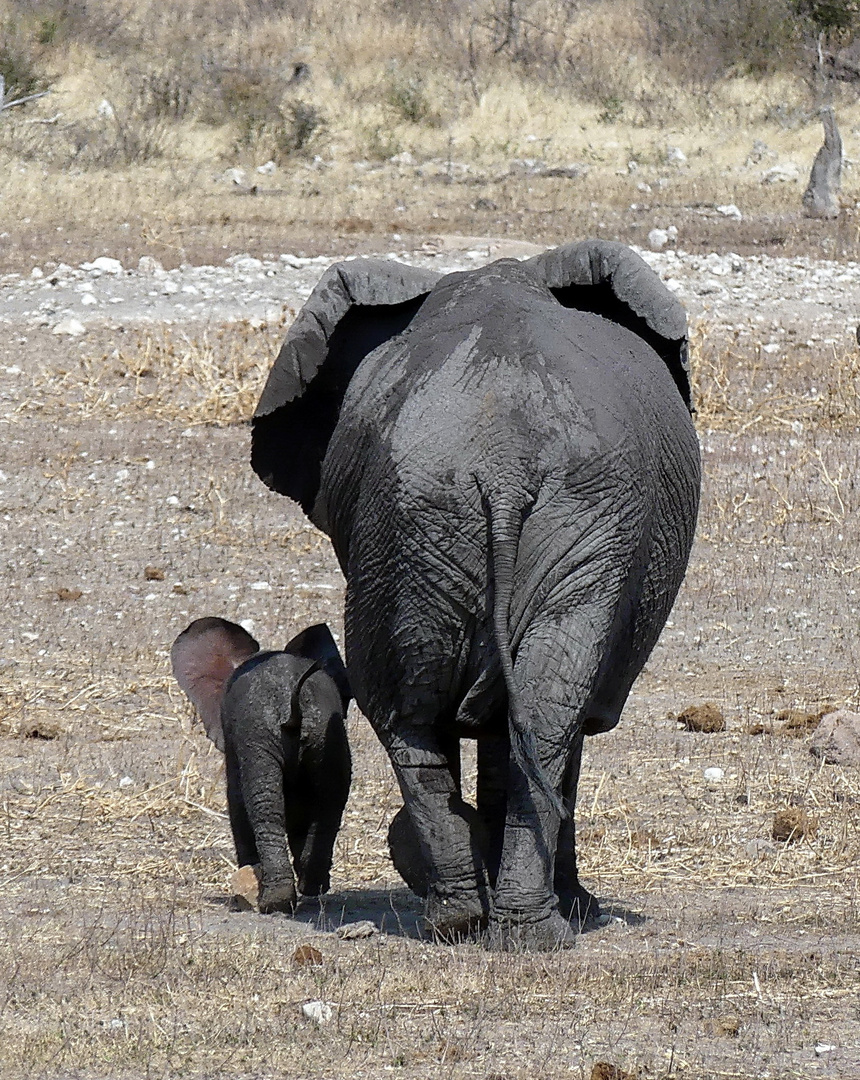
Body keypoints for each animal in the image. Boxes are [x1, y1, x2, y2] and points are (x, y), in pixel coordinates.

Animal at [171, 622, 352, 915]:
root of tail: (292, 701)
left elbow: (236, 801)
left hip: (260, 735)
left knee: (266, 808)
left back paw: (273, 900)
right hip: (326, 734)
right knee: (329, 804)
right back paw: (311, 887)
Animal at [251, 243, 700, 946]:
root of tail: (503, 463)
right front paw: (579, 908)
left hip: (437, 522)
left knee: (440, 715)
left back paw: (479, 923)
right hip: (456, 522)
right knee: (510, 713)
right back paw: (504, 925)